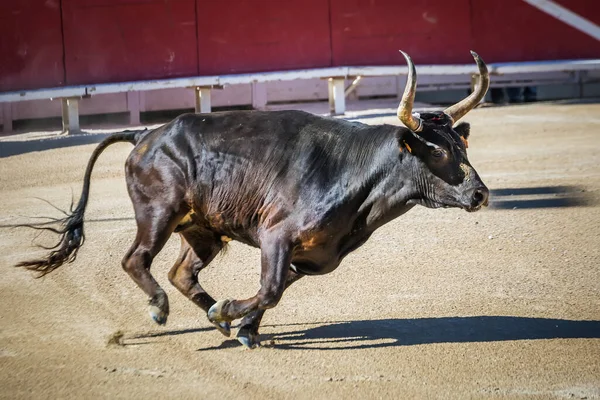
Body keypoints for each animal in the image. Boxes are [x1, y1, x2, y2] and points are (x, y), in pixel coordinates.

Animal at [16, 52, 490, 346]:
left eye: (462, 146)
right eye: (437, 151)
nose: (480, 193)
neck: (358, 182)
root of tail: (147, 134)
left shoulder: (315, 257)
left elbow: (273, 290)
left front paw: (238, 324)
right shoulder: (276, 237)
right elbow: (271, 289)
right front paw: (230, 312)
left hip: (203, 230)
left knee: (181, 273)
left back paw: (213, 318)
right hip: (159, 213)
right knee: (137, 259)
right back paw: (160, 309)